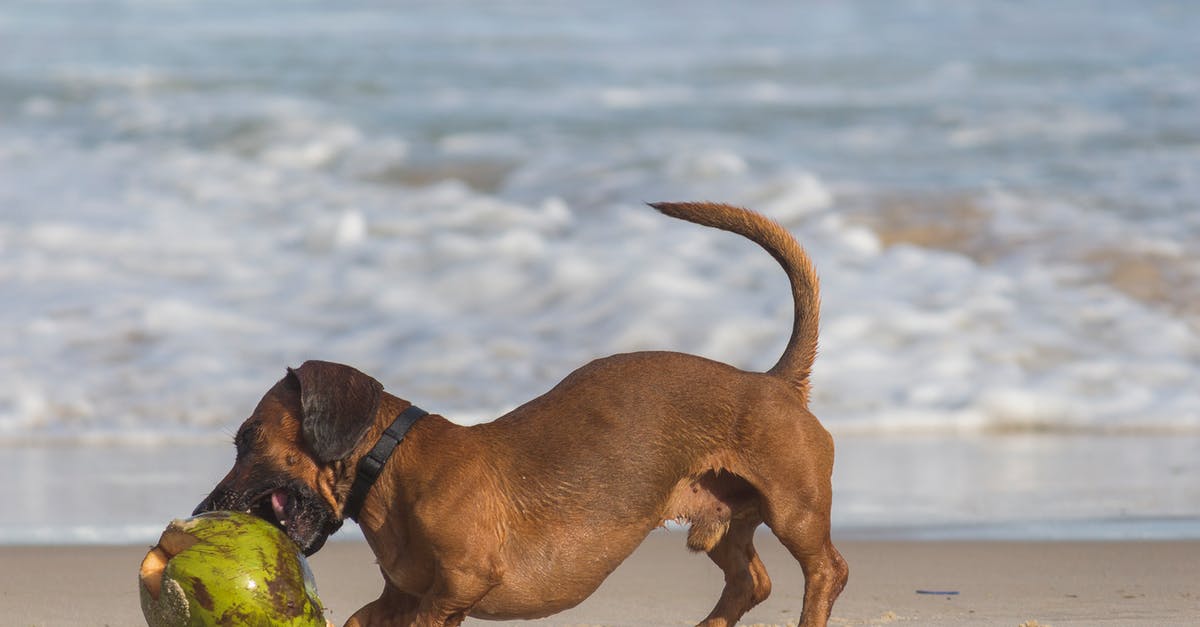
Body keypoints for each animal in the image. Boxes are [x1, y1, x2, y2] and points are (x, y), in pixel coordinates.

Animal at [196, 201, 849, 624]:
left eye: (248, 437)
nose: (201, 514)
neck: (394, 465)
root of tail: (774, 382)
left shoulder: (453, 591)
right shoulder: (396, 599)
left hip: (794, 510)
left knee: (827, 572)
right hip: (724, 522)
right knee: (751, 583)